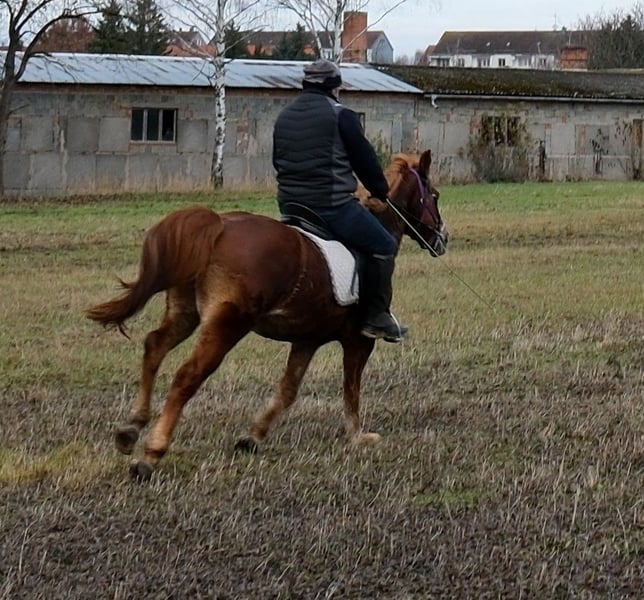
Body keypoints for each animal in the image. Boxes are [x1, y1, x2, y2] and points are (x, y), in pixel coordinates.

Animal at [86, 149, 448, 481]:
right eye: (434, 195)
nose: (443, 238)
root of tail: (218, 226)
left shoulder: (307, 339)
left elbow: (288, 389)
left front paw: (253, 437)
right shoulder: (358, 341)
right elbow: (351, 389)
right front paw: (357, 436)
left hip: (185, 313)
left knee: (154, 347)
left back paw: (131, 429)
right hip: (227, 324)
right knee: (188, 374)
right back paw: (152, 453)